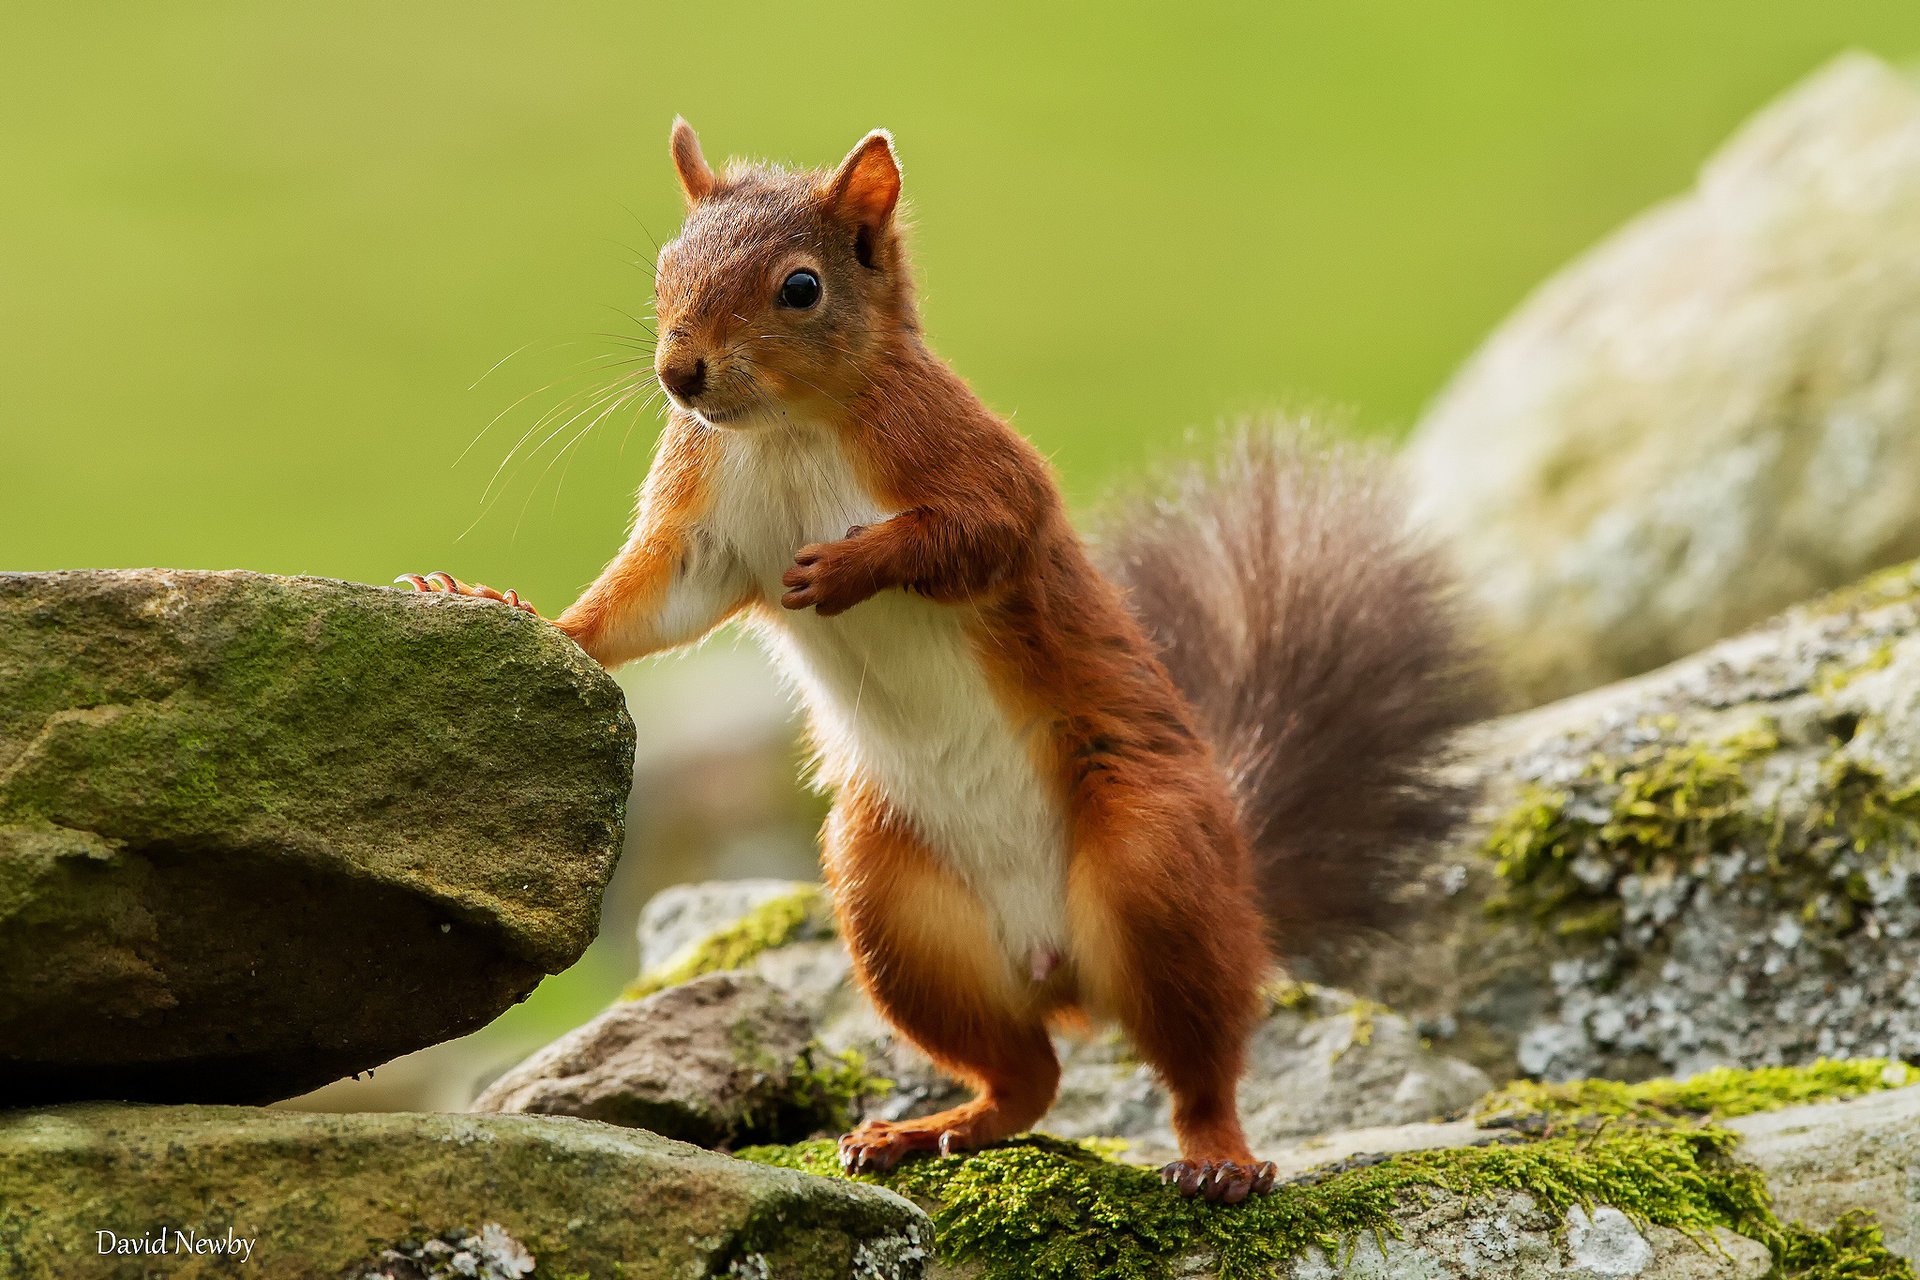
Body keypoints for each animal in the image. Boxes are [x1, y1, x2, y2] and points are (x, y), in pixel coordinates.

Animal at [408, 119, 1482, 1205]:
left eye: (801, 287)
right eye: (666, 267)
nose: (681, 374)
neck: (789, 429)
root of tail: (1063, 967)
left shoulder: (970, 461)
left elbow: (976, 534)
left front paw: (850, 565)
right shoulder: (703, 528)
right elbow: (644, 607)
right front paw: (502, 607)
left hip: (1155, 862)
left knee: (1198, 1059)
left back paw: (1218, 1154)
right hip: (895, 910)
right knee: (1027, 1078)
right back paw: (926, 1130)